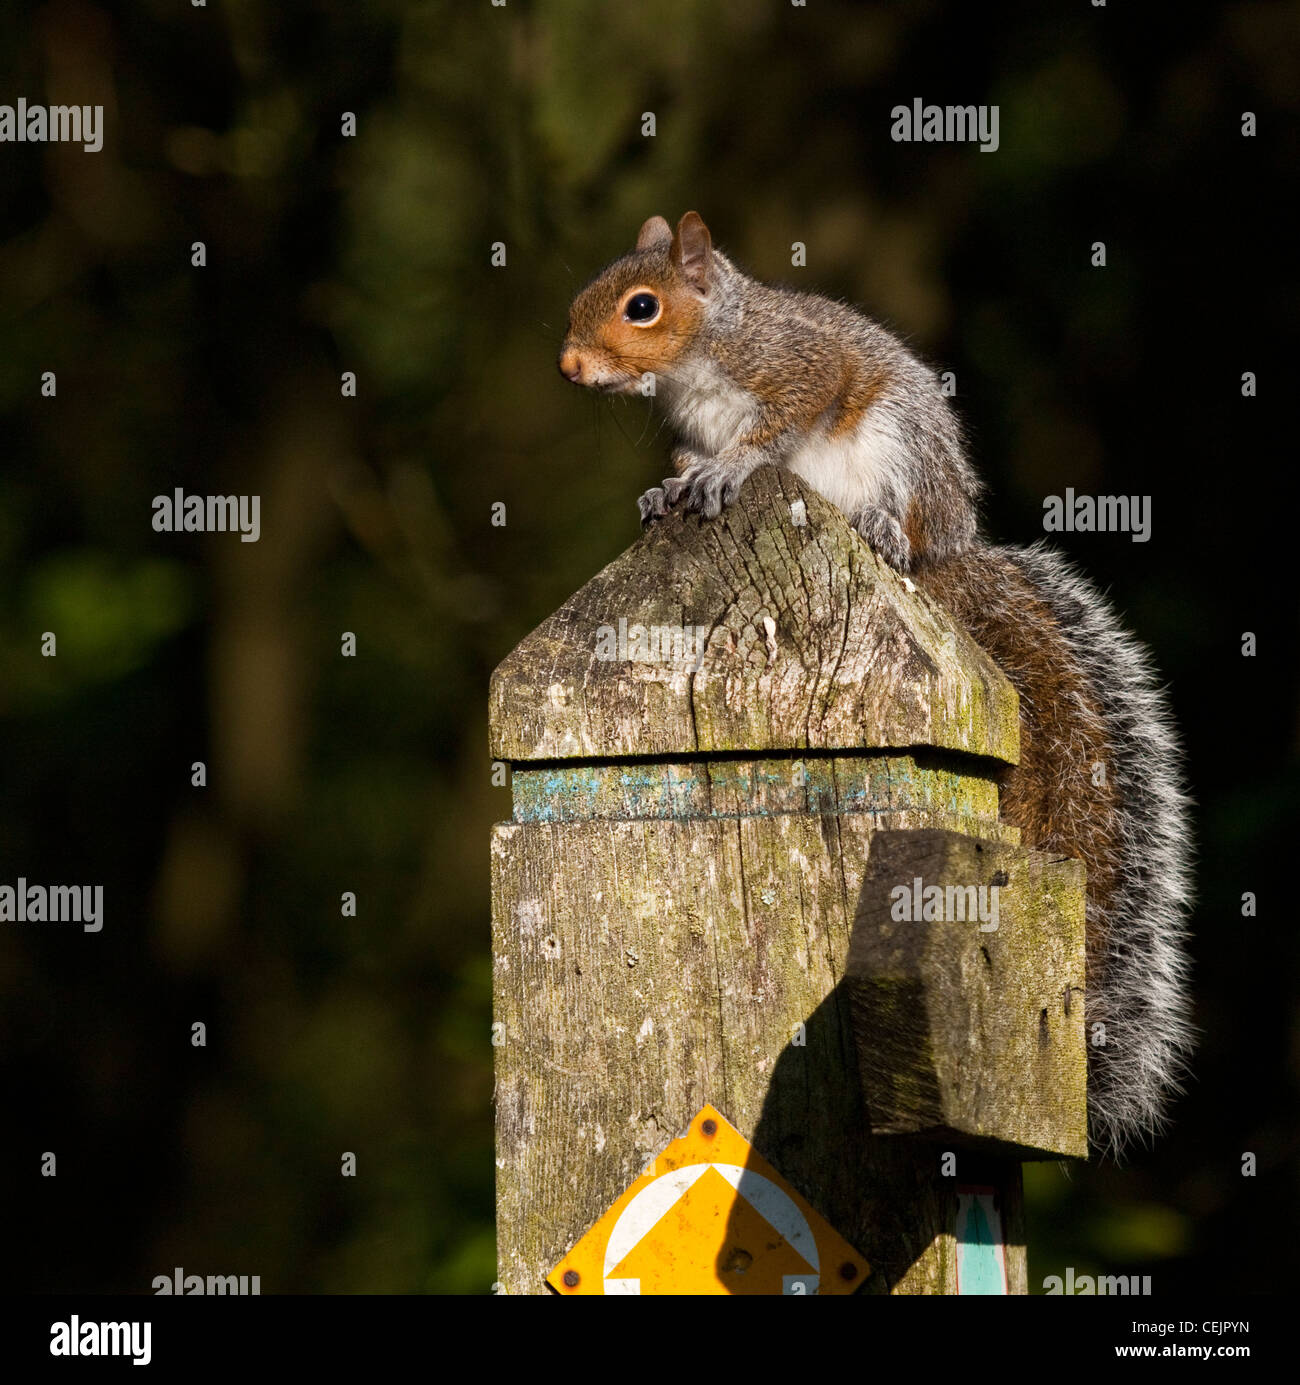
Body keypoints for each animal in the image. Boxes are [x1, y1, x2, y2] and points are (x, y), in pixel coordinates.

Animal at [553, 204, 1196, 1157]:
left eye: (642, 306)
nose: (569, 366)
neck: (705, 359)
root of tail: (951, 552)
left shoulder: (798, 367)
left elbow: (780, 424)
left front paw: (728, 468)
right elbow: (685, 458)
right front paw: (669, 485)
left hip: (896, 446)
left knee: (897, 515)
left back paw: (883, 529)